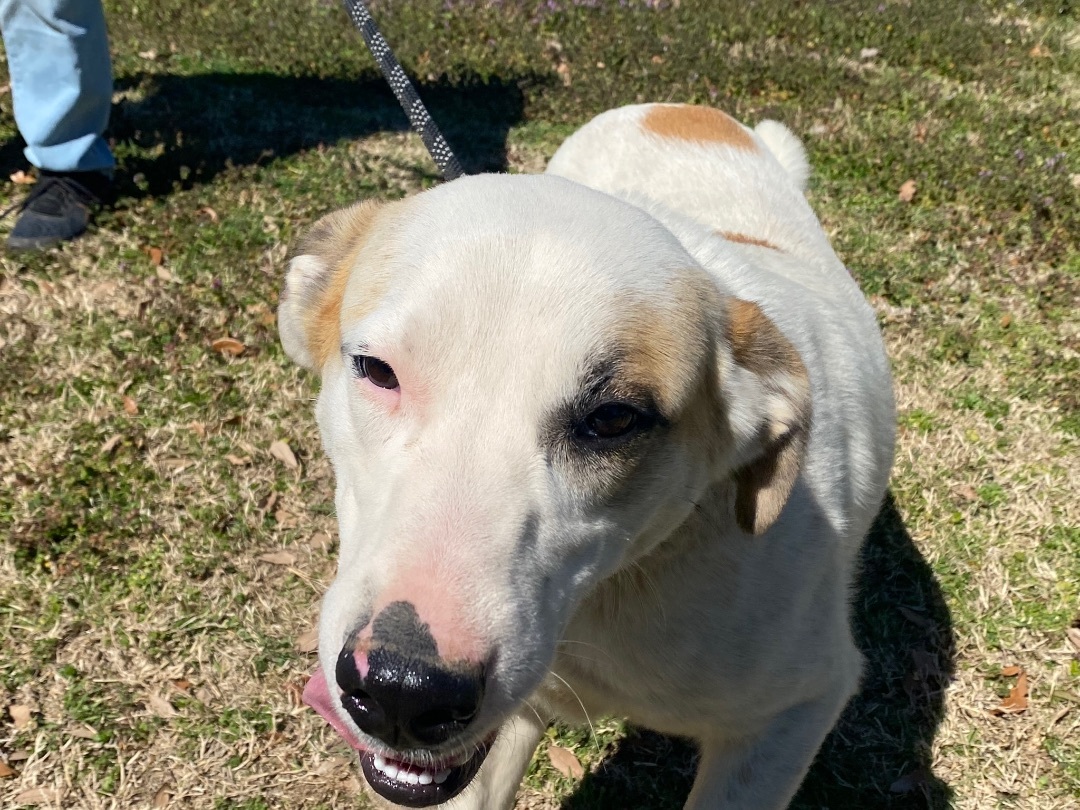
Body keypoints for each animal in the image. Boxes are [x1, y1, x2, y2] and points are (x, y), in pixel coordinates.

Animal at [278, 104, 894, 807]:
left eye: (613, 419)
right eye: (376, 370)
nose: (402, 690)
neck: (609, 595)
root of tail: (684, 108)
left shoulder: (793, 711)